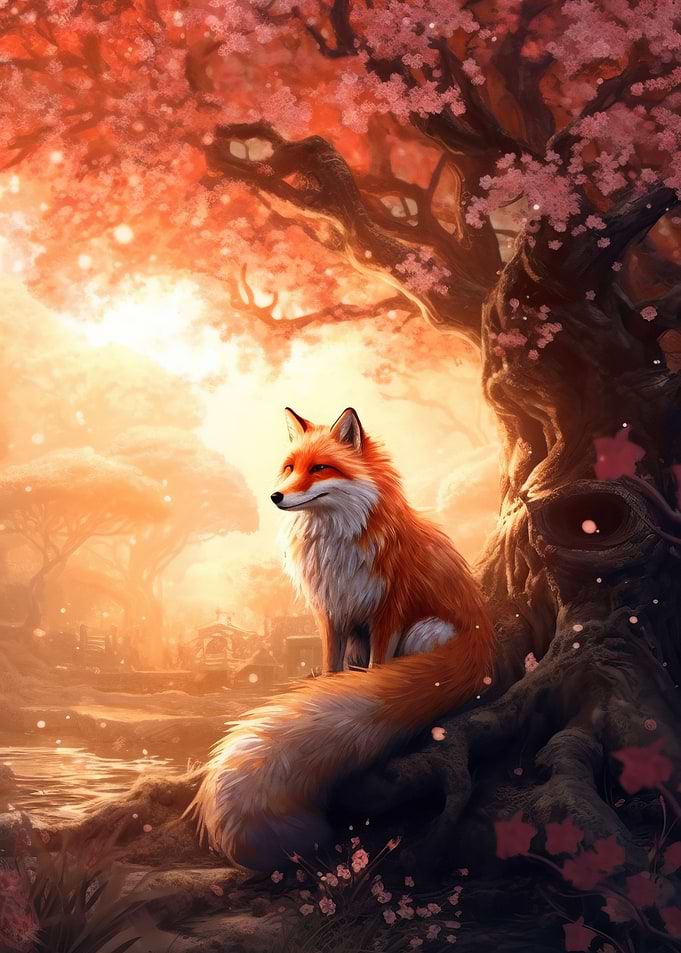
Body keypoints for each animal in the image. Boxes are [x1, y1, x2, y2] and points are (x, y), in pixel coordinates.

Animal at [190, 407, 495, 871]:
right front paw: (329, 686)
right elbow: (333, 668)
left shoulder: (388, 612)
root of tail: (483, 652)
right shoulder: (332, 613)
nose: (275, 496)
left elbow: (377, 670)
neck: (336, 542)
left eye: (320, 468)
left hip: (428, 629)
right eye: (290, 467)